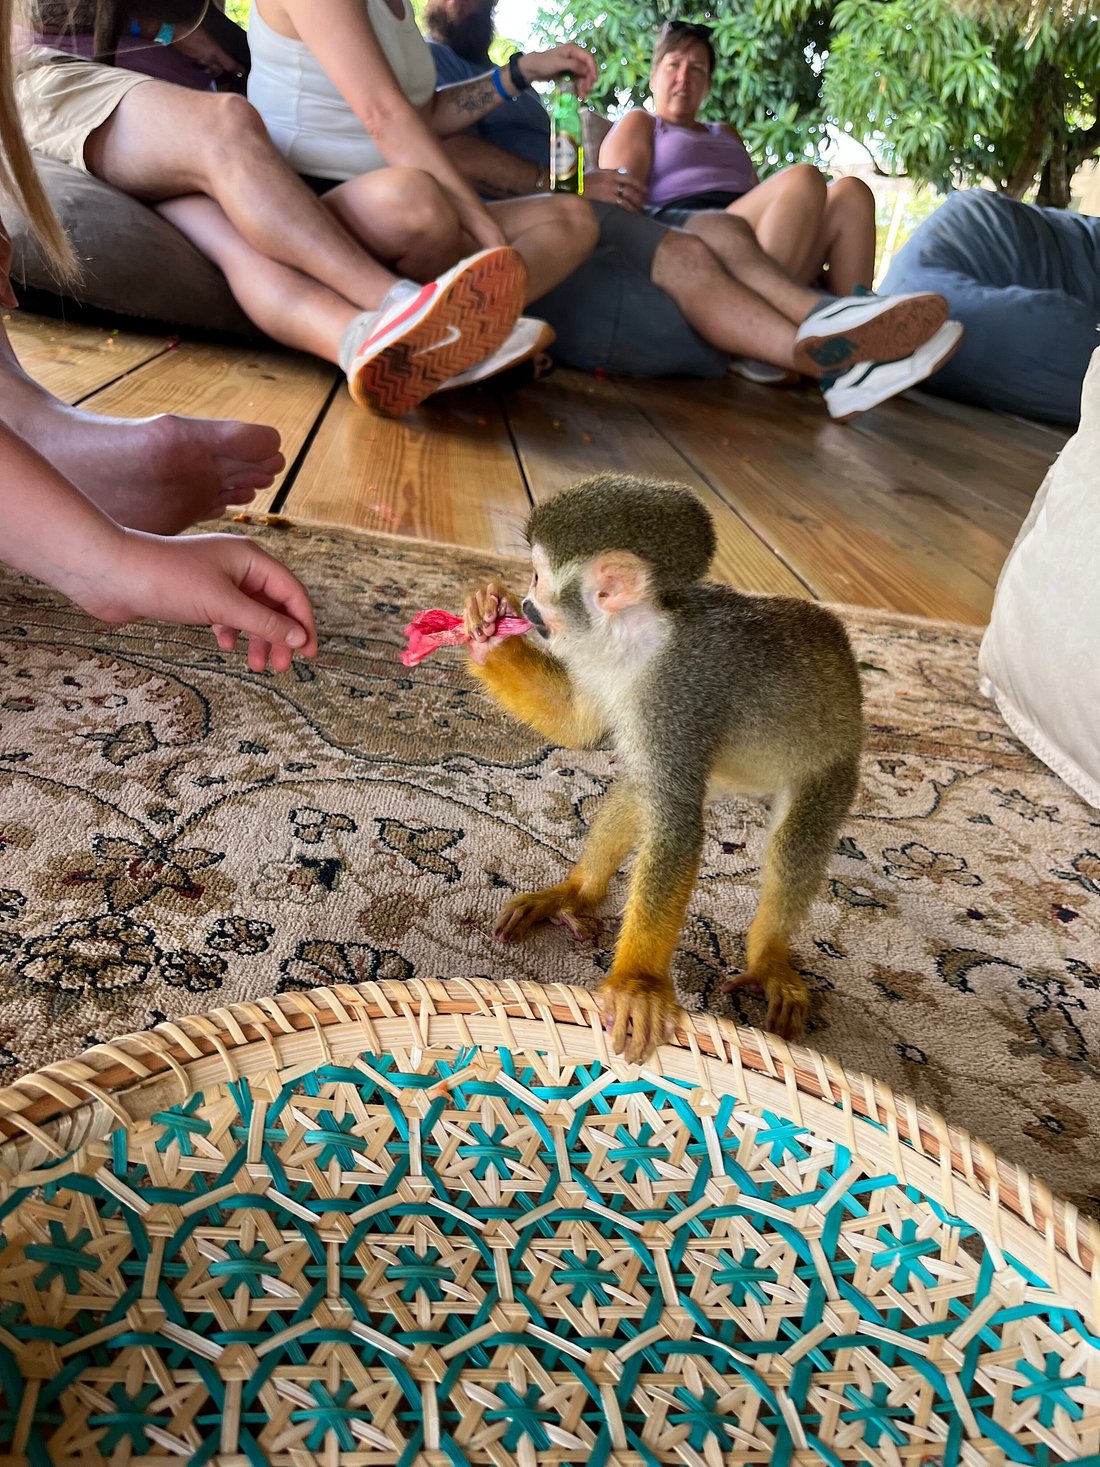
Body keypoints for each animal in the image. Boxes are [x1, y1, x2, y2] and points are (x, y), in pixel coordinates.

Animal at [463, 474, 863, 1064]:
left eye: (536, 574)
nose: (528, 604)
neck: (635, 635)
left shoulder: (677, 694)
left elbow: (676, 830)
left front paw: (639, 986)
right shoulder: (597, 660)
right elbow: (577, 728)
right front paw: (485, 627)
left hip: (836, 766)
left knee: (792, 840)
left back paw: (769, 958)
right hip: (719, 769)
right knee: (641, 791)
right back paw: (577, 893)